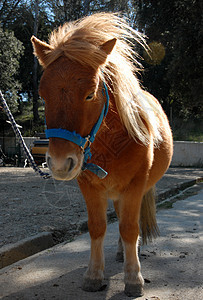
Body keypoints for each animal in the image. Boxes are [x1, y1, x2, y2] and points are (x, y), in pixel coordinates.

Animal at [31, 12, 173, 298]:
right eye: (42, 95)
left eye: (90, 94)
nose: (60, 163)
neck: (110, 143)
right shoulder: (89, 186)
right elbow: (98, 228)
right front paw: (94, 275)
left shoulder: (135, 186)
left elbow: (130, 228)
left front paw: (133, 278)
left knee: (129, 223)